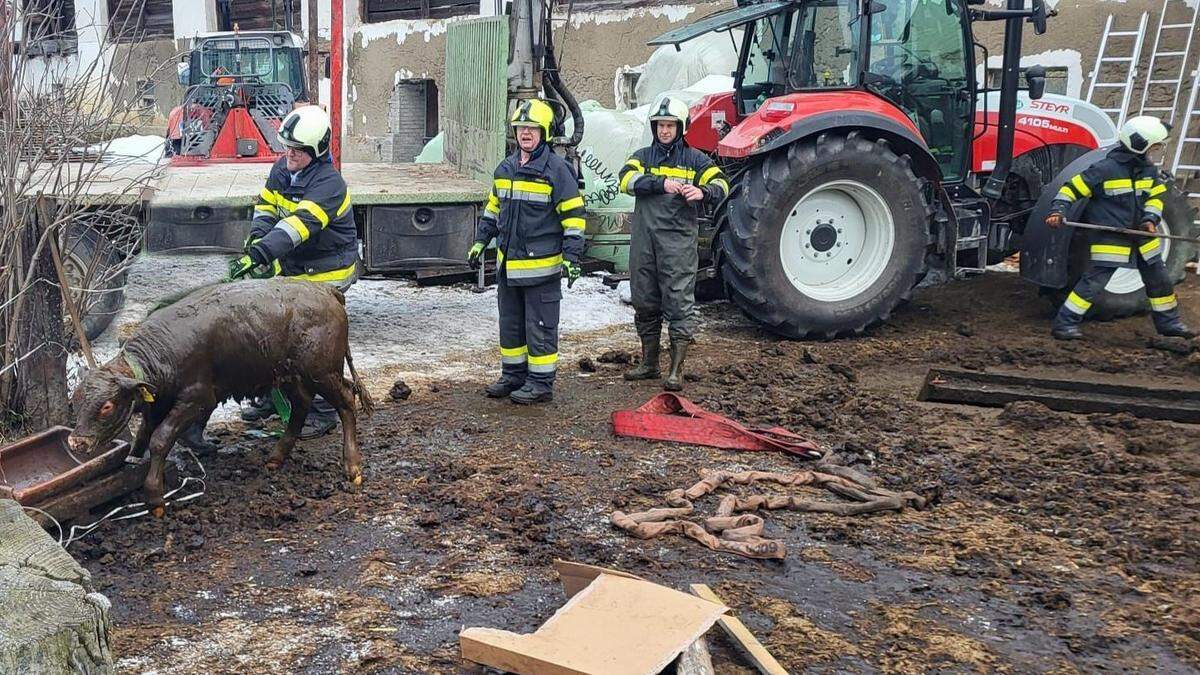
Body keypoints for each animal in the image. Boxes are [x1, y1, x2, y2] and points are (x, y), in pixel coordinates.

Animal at [70, 278, 369, 514]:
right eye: (75, 400)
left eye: (107, 406)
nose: (76, 442)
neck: (162, 354)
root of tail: (326, 290)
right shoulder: (158, 403)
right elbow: (143, 434)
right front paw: (132, 465)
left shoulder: (198, 398)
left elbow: (160, 439)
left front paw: (154, 497)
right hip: (289, 374)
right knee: (301, 404)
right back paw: (277, 456)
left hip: (323, 371)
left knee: (346, 401)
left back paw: (353, 466)